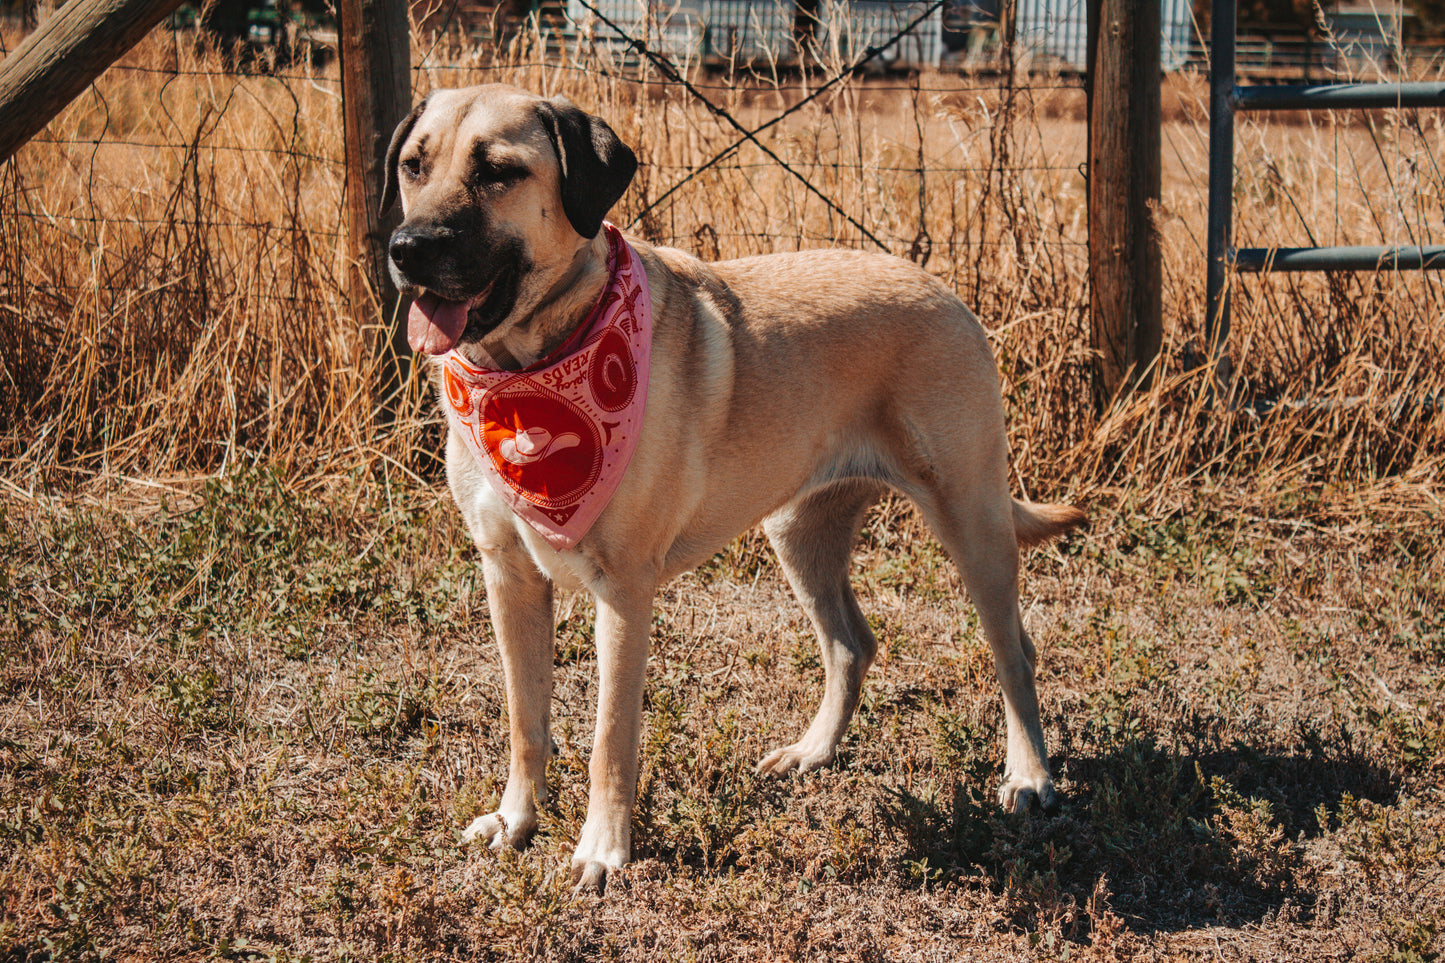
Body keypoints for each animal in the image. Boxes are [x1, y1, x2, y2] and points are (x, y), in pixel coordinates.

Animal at [384, 84, 1086, 890]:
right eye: (413, 165)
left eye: (498, 171)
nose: (406, 249)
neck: (529, 372)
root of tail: (941, 289)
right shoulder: (508, 574)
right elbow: (525, 722)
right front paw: (515, 820)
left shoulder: (623, 590)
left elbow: (609, 737)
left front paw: (602, 850)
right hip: (798, 533)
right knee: (851, 644)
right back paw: (813, 751)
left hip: (970, 520)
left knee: (1013, 651)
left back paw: (1029, 775)